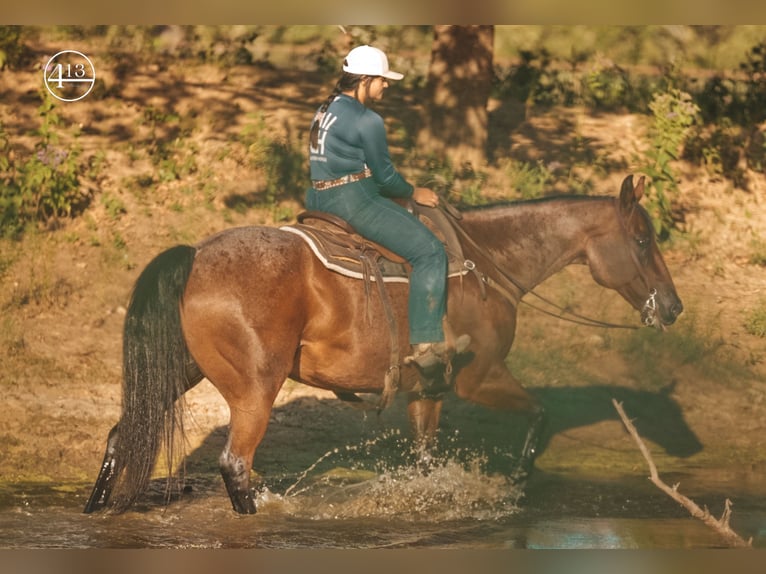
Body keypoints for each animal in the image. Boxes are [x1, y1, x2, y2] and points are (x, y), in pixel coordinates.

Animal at [82, 173, 684, 516]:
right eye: (641, 239)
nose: (674, 307)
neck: (485, 264)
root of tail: (197, 255)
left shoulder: (429, 388)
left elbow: (424, 460)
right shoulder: (480, 376)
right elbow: (540, 414)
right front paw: (516, 481)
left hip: (179, 372)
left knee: (119, 436)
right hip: (255, 388)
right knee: (235, 464)